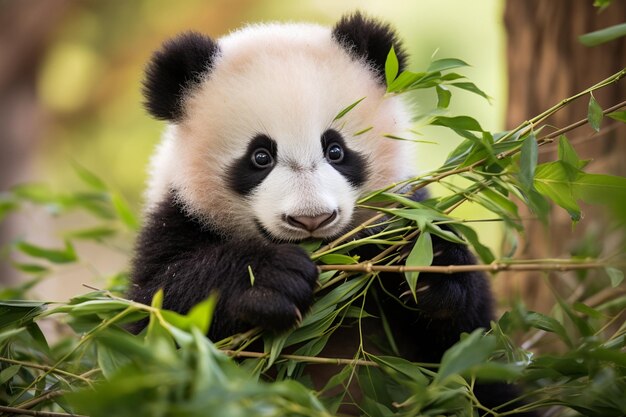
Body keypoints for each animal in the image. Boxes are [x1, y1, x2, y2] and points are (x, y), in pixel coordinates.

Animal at [130, 11, 532, 414]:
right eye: (260, 157)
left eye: (335, 150)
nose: (312, 219)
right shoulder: (178, 218)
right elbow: (156, 315)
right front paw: (270, 278)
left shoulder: (408, 204)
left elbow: (470, 346)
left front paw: (427, 266)